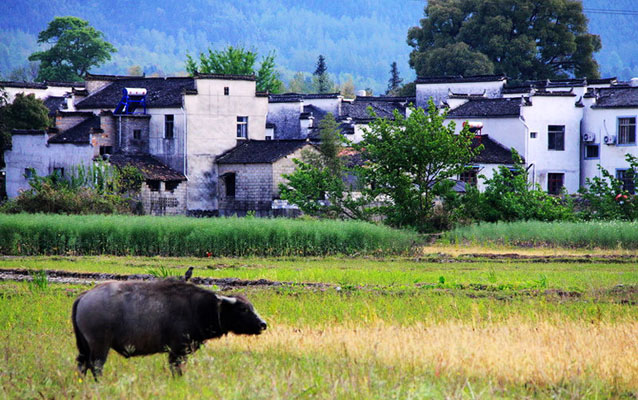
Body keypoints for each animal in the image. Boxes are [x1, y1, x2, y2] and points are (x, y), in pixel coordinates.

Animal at [71, 278, 266, 378]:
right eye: (243, 309)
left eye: (251, 306)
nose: (263, 324)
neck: (198, 307)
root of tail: (84, 296)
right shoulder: (177, 351)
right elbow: (176, 370)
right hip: (100, 346)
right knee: (96, 366)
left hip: (84, 347)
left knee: (82, 365)